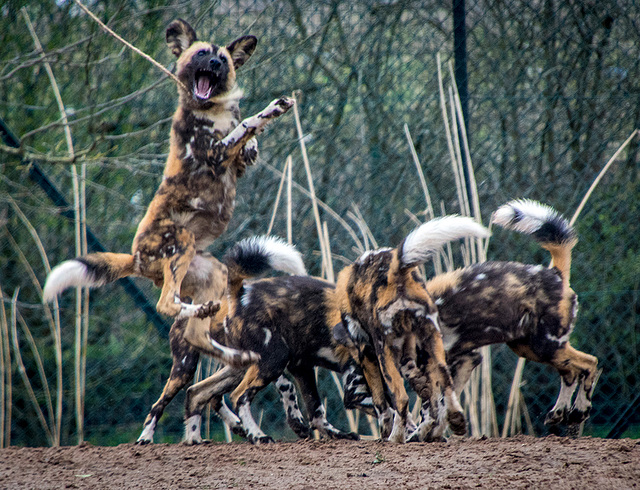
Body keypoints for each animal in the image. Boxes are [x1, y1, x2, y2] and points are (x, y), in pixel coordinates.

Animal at [42, 18, 296, 344]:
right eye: (201, 54)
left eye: (223, 59)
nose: (214, 63)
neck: (214, 109)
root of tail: (135, 257)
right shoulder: (216, 154)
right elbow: (247, 123)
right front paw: (272, 109)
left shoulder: (235, 165)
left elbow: (247, 137)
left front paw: (253, 143)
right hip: (181, 240)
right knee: (164, 305)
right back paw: (200, 311)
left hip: (210, 269)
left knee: (180, 303)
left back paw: (205, 311)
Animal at [330, 216, 490, 442]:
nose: (335, 333)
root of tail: (395, 268)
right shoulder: (407, 351)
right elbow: (421, 383)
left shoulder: (368, 354)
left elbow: (382, 405)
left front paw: (385, 433)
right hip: (432, 336)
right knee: (445, 377)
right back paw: (456, 419)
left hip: (383, 353)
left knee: (401, 398)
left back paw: (395, 437)